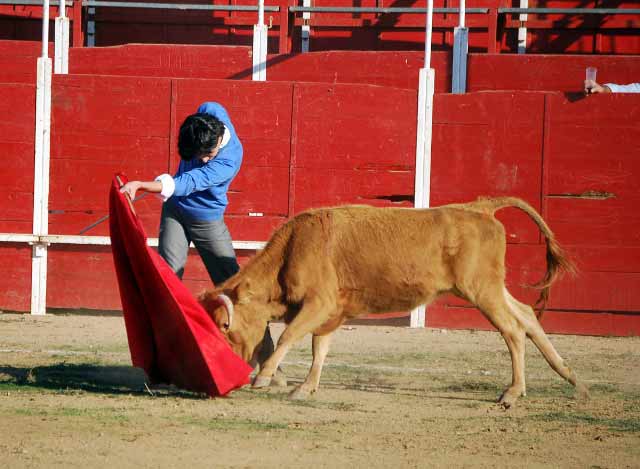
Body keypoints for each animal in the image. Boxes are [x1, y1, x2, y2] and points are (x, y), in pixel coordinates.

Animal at [200, 197, 592, 406]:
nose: (232, 372)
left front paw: (264, 377)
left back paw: (512, 393)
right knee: (526, 315)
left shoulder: (319, 304)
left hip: (480, 289)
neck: (295, 247)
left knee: (512, 330)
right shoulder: (332, 313)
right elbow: (319, 349)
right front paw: (306, 387)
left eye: (225, 324)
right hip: (492, 287)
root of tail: (479, 207)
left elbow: (288, 336)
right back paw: (573, 378)